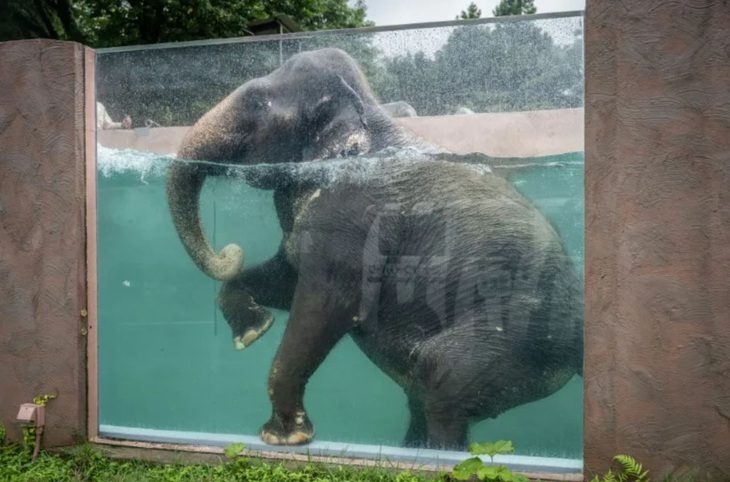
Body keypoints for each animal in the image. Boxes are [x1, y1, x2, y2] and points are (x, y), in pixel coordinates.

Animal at [166, 48, 583, 450]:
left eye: (256, 101)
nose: (229, 251)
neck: (370, 111)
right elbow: (285, 280)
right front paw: (254, 332)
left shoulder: (351, 218)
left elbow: (326, 304)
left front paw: (283, 438)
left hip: (511, 339)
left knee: (440, 378)